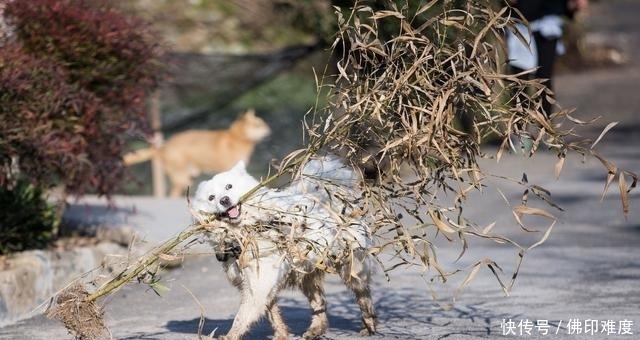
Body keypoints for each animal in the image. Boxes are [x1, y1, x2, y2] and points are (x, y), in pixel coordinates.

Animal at [124, 109, 270, 197]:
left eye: (262, 123)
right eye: (257, 125)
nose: (269, 131)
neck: (237, 139)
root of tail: (163, 147)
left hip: (189, 178)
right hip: (181, 179)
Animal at [192, 156, 378, 340]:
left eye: (229, 186)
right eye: (211, 197)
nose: (224, 200)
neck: (244, 233)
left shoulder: (257, 286)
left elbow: (241, 317)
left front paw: (230, 336)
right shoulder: (259, 285)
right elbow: (273, 314)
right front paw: (282, 334)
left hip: (352, 267)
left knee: (363, 295)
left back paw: (369, 325)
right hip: (307, 274)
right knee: (319, 303)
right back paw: (316, 329)